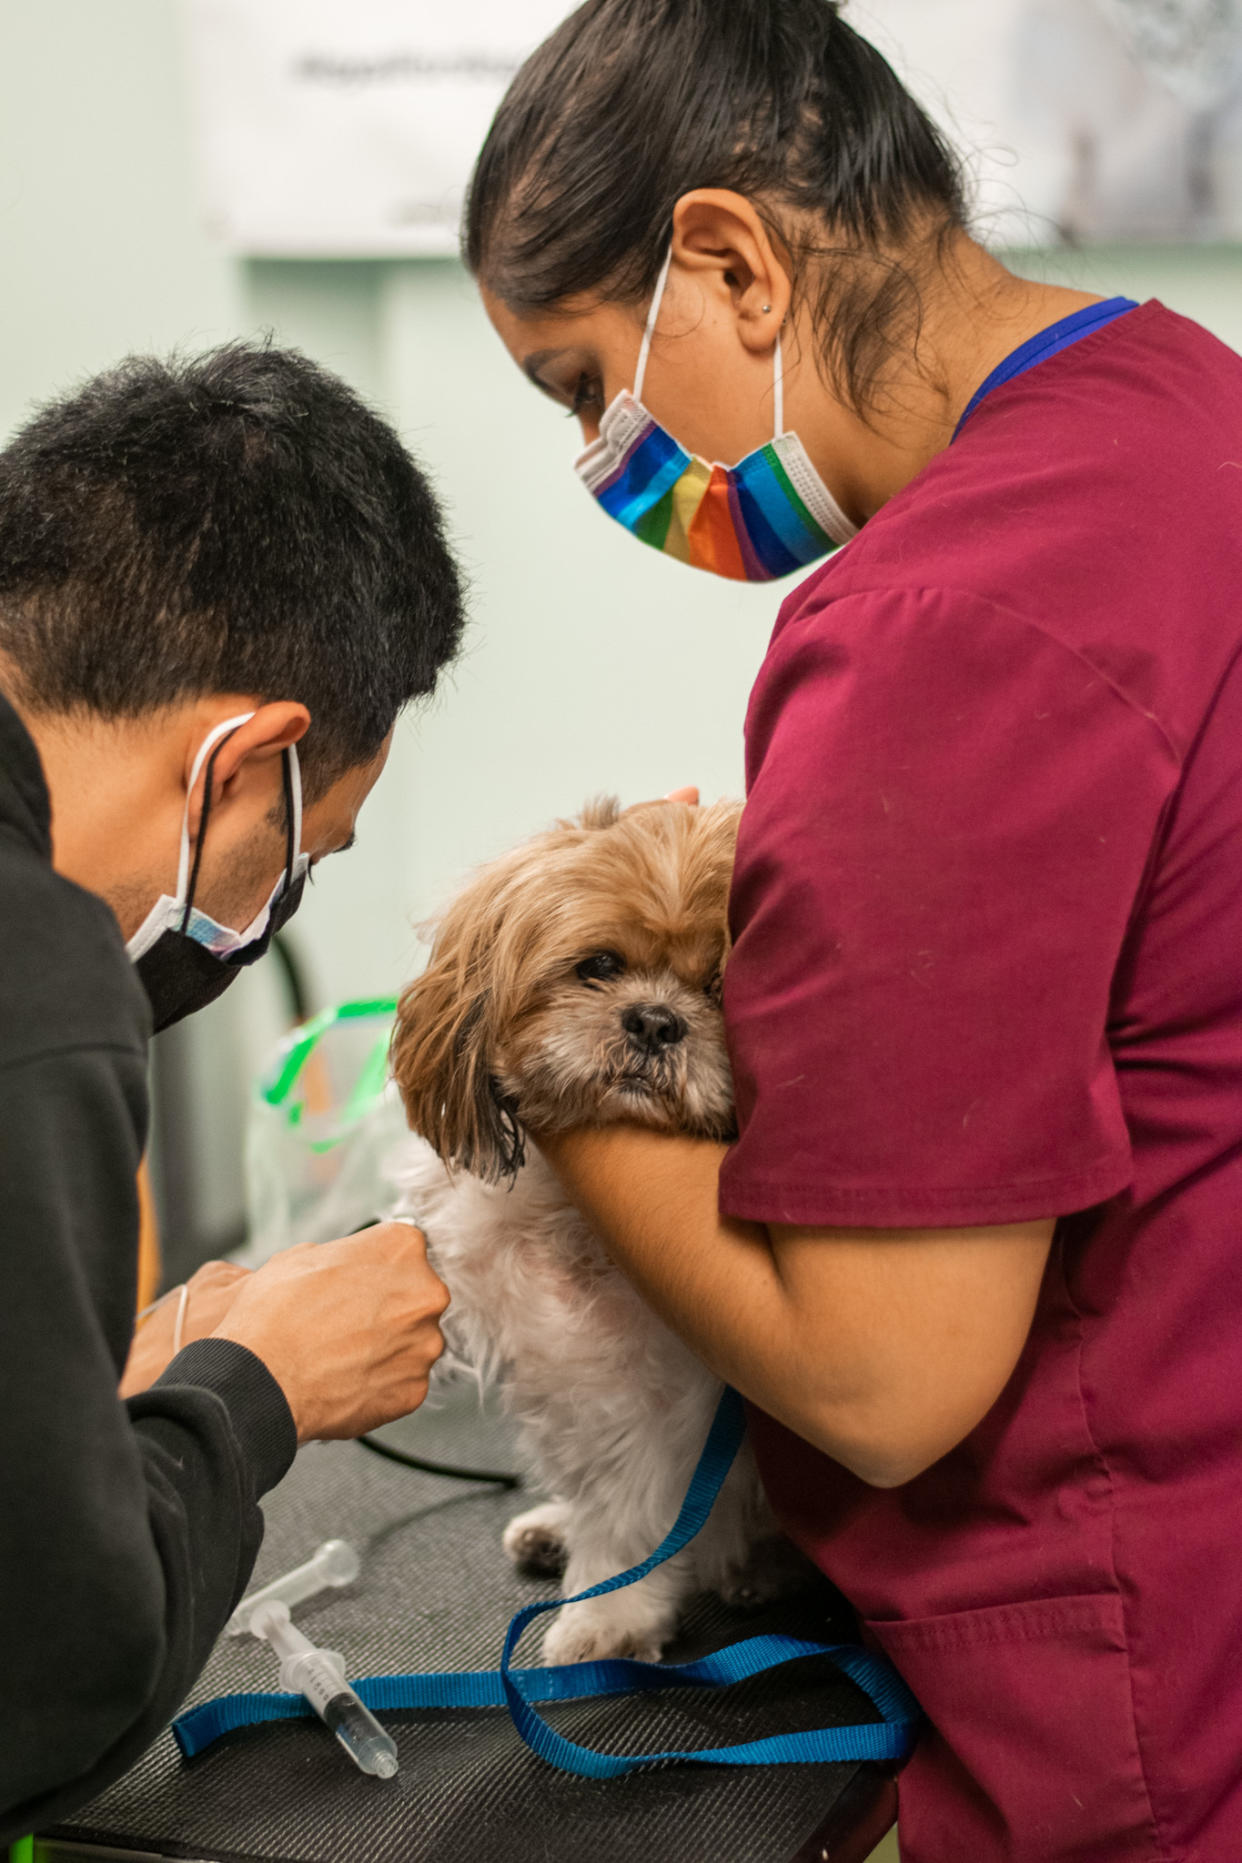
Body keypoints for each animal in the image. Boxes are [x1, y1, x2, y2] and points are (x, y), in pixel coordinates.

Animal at [385, 793, 785, 1669]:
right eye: (598, 965)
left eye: (719, 987)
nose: (656, 1021)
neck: (576, 1225)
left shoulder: (660, 1403)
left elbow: (632, 1516)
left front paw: (610, 1613)